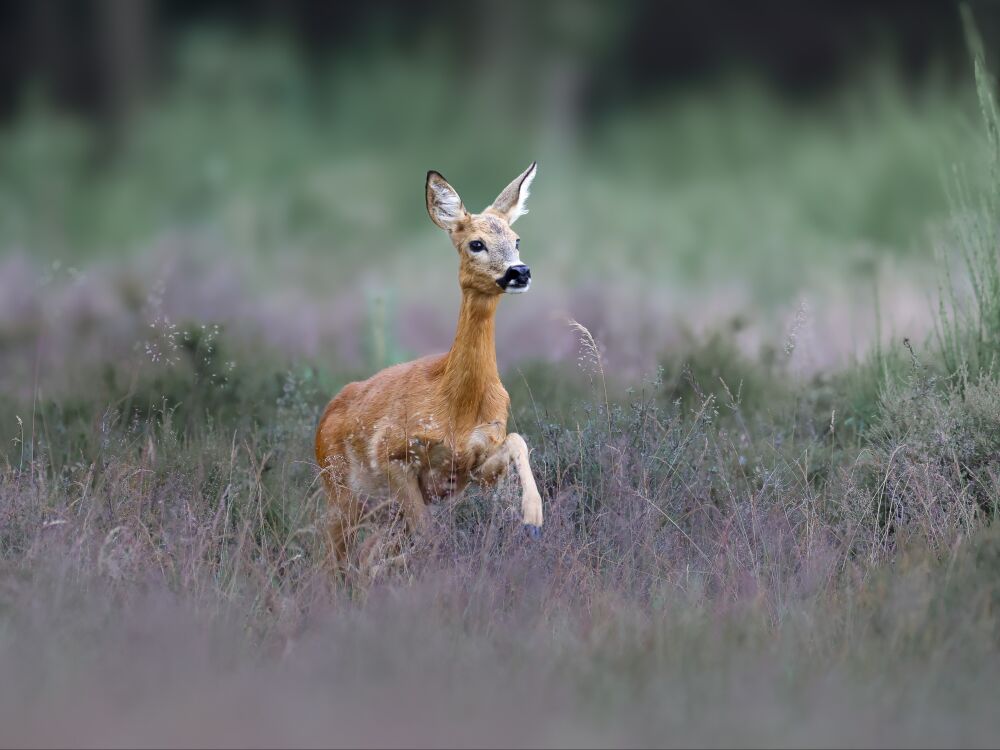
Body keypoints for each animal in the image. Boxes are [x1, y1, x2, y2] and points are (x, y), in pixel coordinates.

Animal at [316, 160, 544, 568]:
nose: (520, 272)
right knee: (334, 555)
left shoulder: (473, 465)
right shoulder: (395, 455)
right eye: (476, 243)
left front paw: (533, 519)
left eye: (517, 239)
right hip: (341, 489)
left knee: (364, 556)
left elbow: (518, 440)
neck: (457, 404)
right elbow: (428, 538)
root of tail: (323, 420)